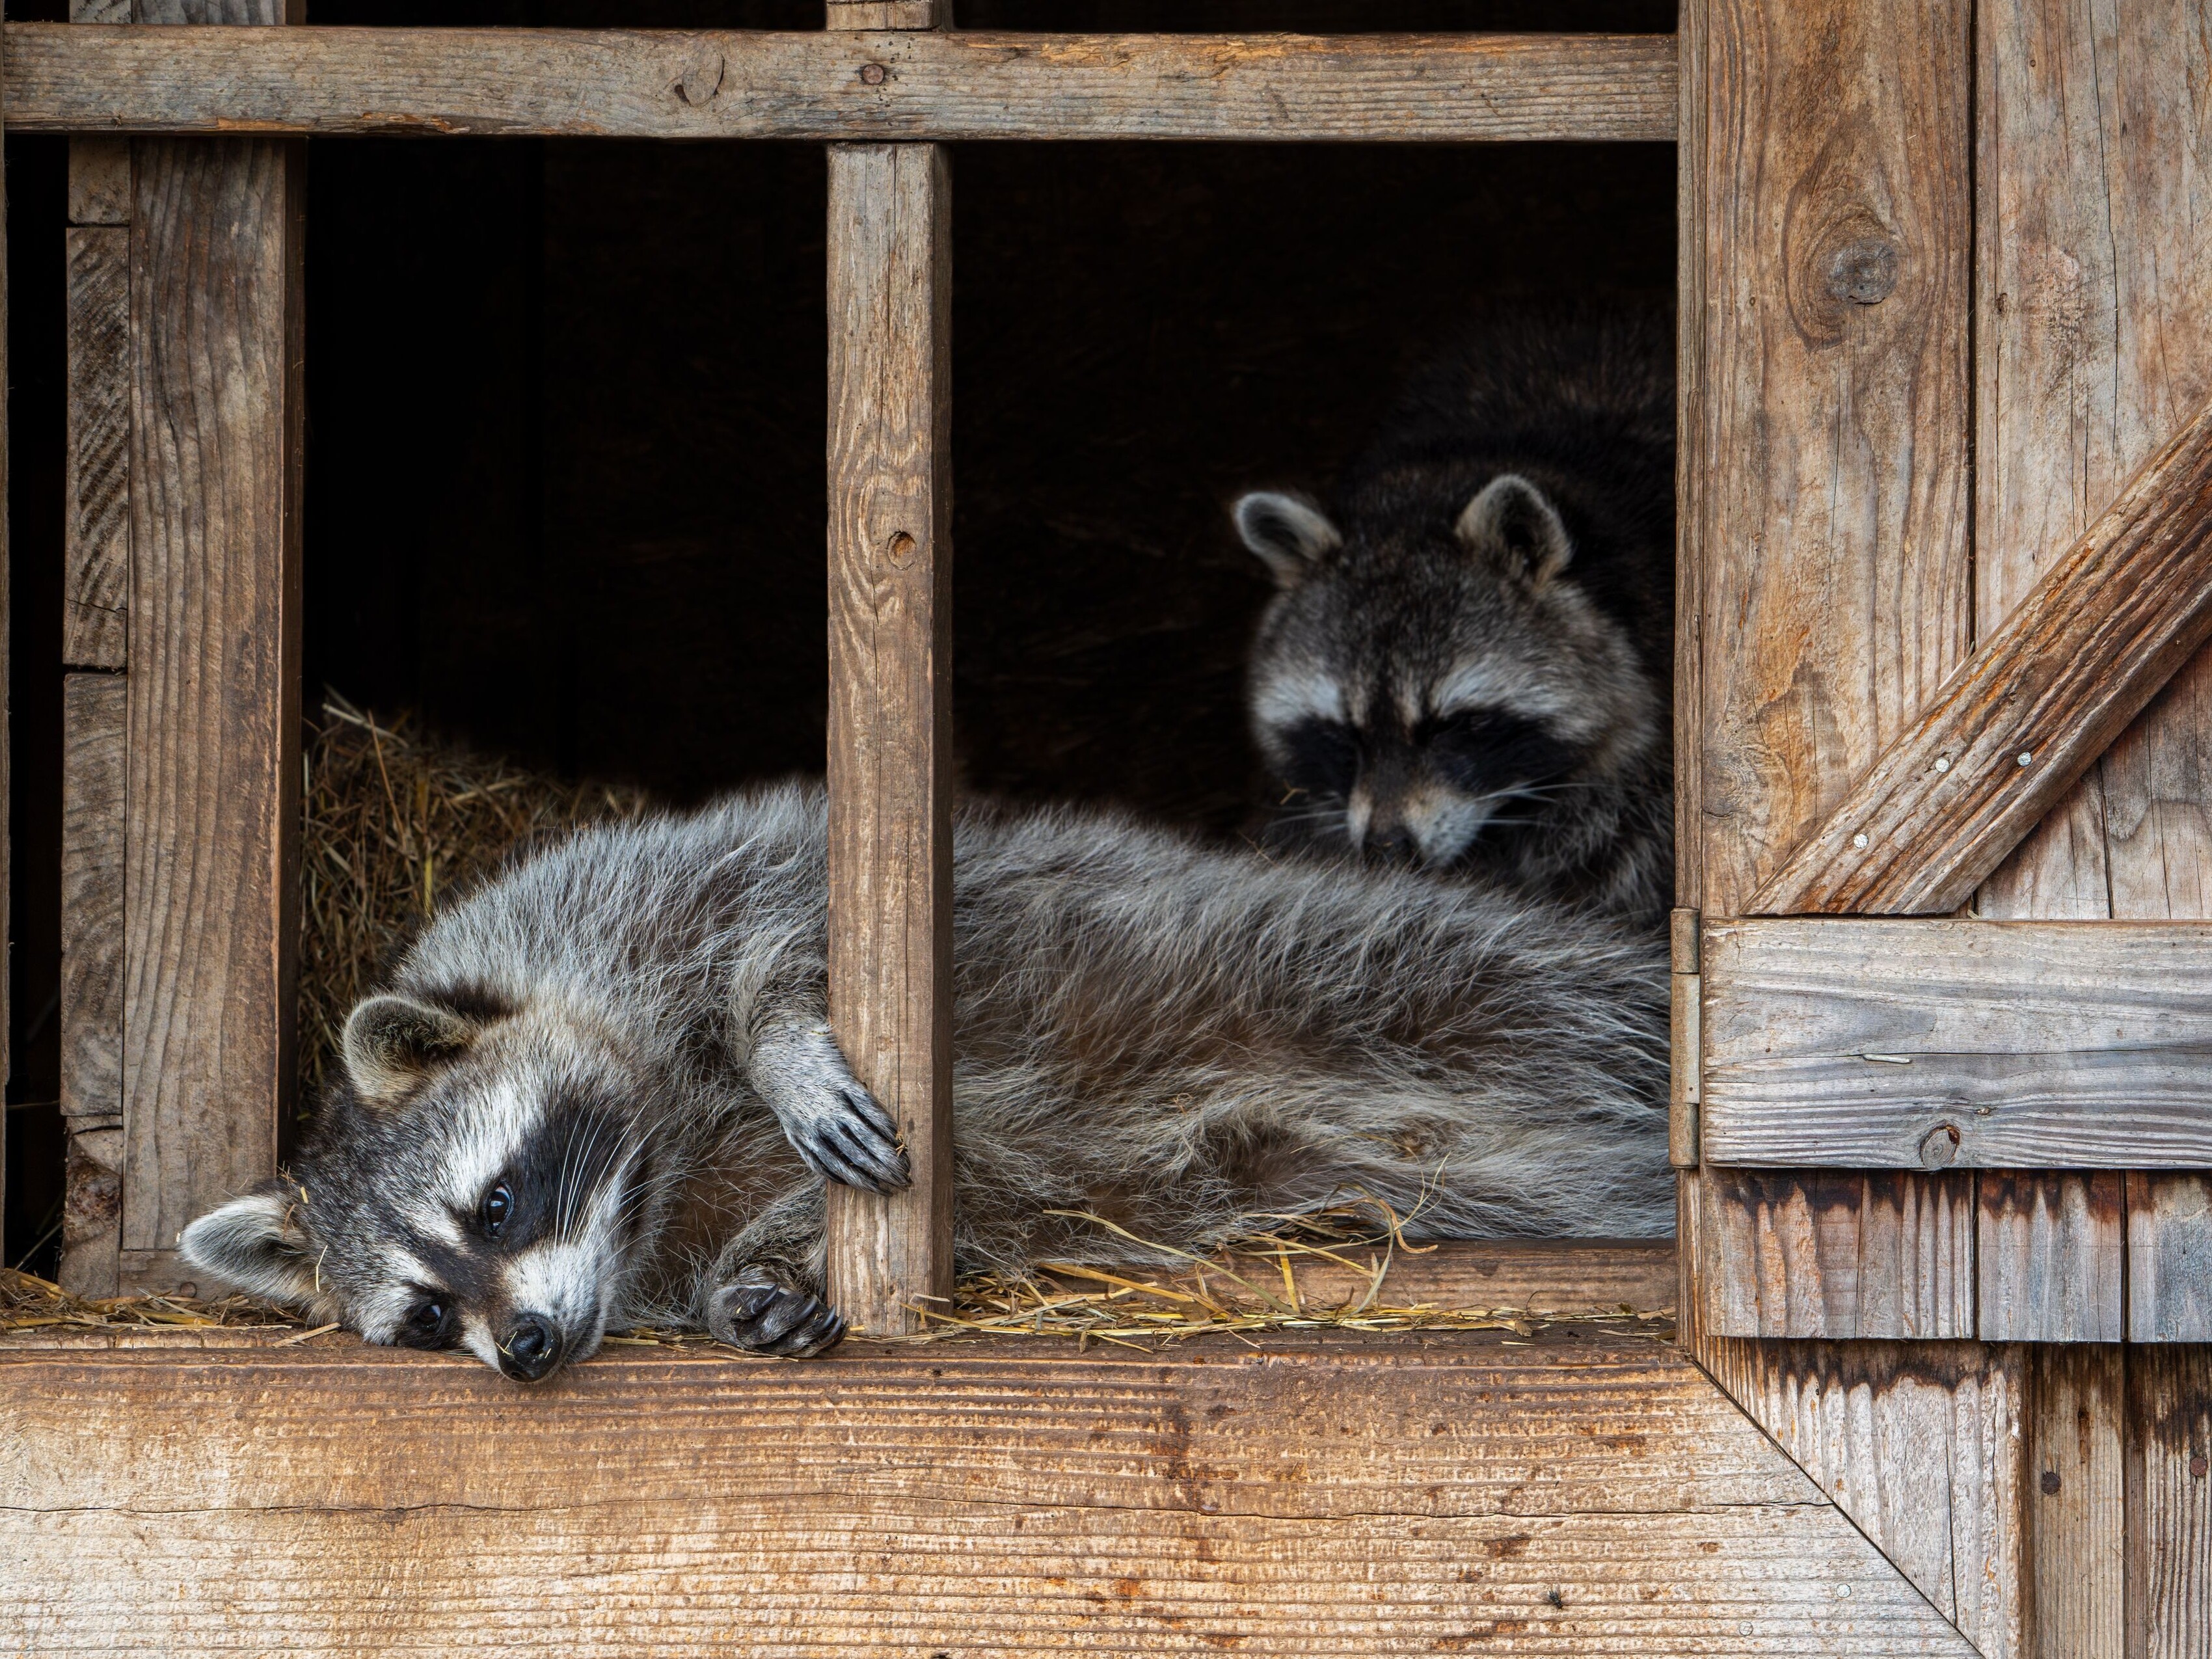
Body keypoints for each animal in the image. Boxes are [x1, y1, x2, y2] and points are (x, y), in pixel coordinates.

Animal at [181, 781, 1668, 1383]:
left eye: (494, 1207)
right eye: (428, 1317)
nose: (531, 1350)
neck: (651, 1174)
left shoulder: (652, 887)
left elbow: (791, 924)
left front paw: (780, 1038)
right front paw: (750, 1284)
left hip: (1357, 964)